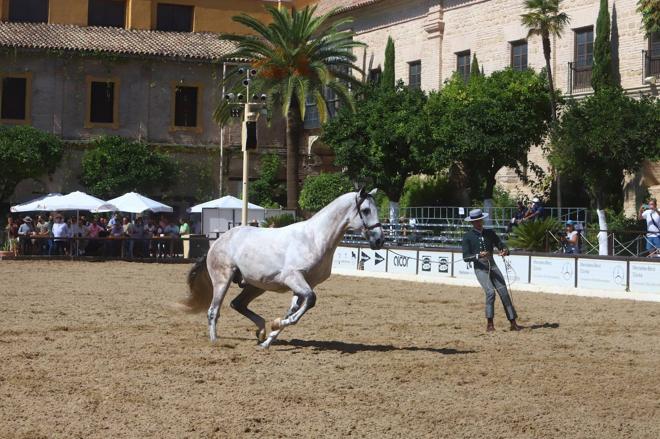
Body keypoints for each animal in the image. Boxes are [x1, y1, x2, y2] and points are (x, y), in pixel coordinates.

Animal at [183, 189, 384, 350]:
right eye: (366, 210)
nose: (379, 240)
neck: (314, 238)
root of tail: (218, 241)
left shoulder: (304, 284)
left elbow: (295, 308)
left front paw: (270, 337)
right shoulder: (293, 278)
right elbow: (309, 301)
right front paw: (277, 324)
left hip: (255, 286)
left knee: (237, 304)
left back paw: (261, 331)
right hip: (222, 280)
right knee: (213, 311)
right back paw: (215, 341)